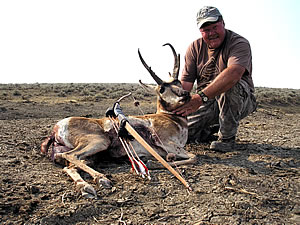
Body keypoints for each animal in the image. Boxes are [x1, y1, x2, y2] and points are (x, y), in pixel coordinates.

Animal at [41, 43, 196, 198]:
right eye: (162, 89)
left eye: (178, 82)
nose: (185, 94)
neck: (170, 117)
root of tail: (56, 128)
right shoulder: (166, 143)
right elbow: (192, 157)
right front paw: (151, 163)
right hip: (99, 142)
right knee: (71, 155)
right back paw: (101, 179)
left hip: (91, 156)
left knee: (70, 167)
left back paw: (85, 187)